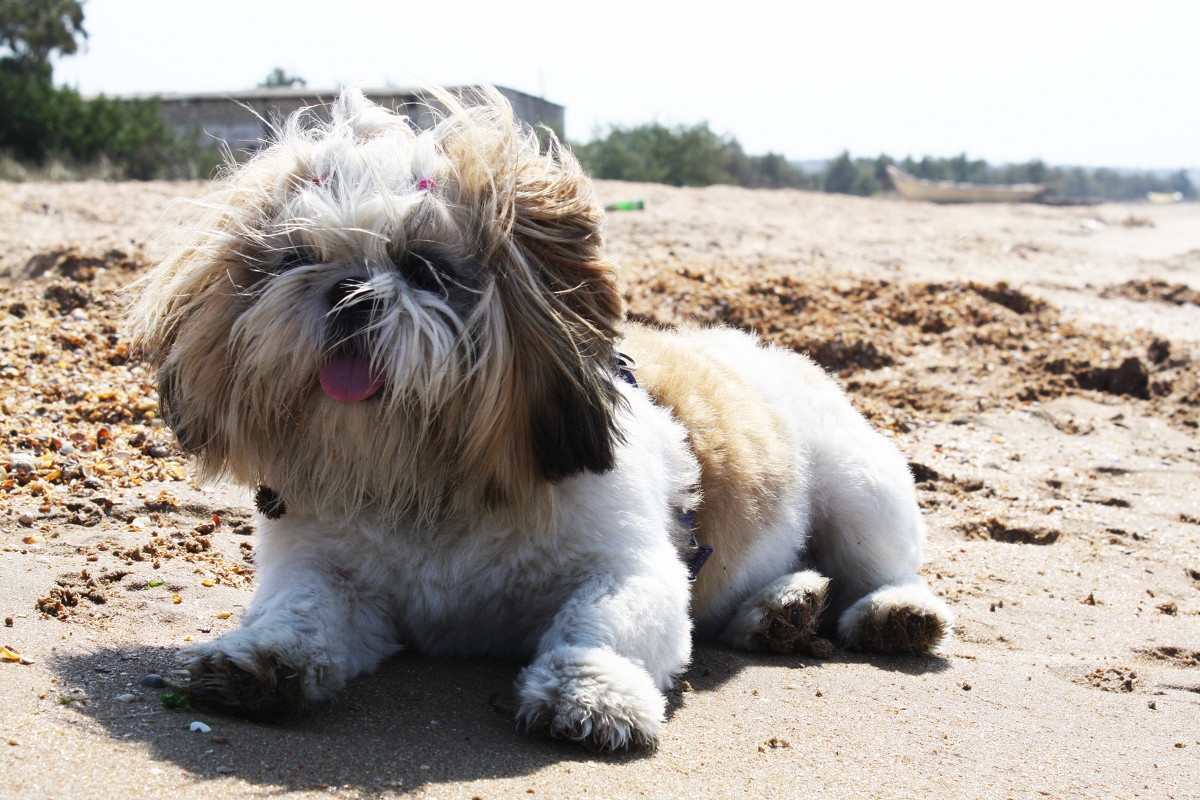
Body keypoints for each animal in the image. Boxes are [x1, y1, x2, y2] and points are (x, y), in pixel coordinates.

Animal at [126, 87, 950, 753]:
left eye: (425, 268)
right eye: (295, 258)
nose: (349, 294)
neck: (427, 475)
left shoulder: (633, 568)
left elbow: (600, 625)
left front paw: (590, 694)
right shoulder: (325, 573)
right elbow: (301, 615)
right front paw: (258, 661)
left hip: (859, 488)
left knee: (881, 568)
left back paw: (886, 612)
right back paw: (780, 609)